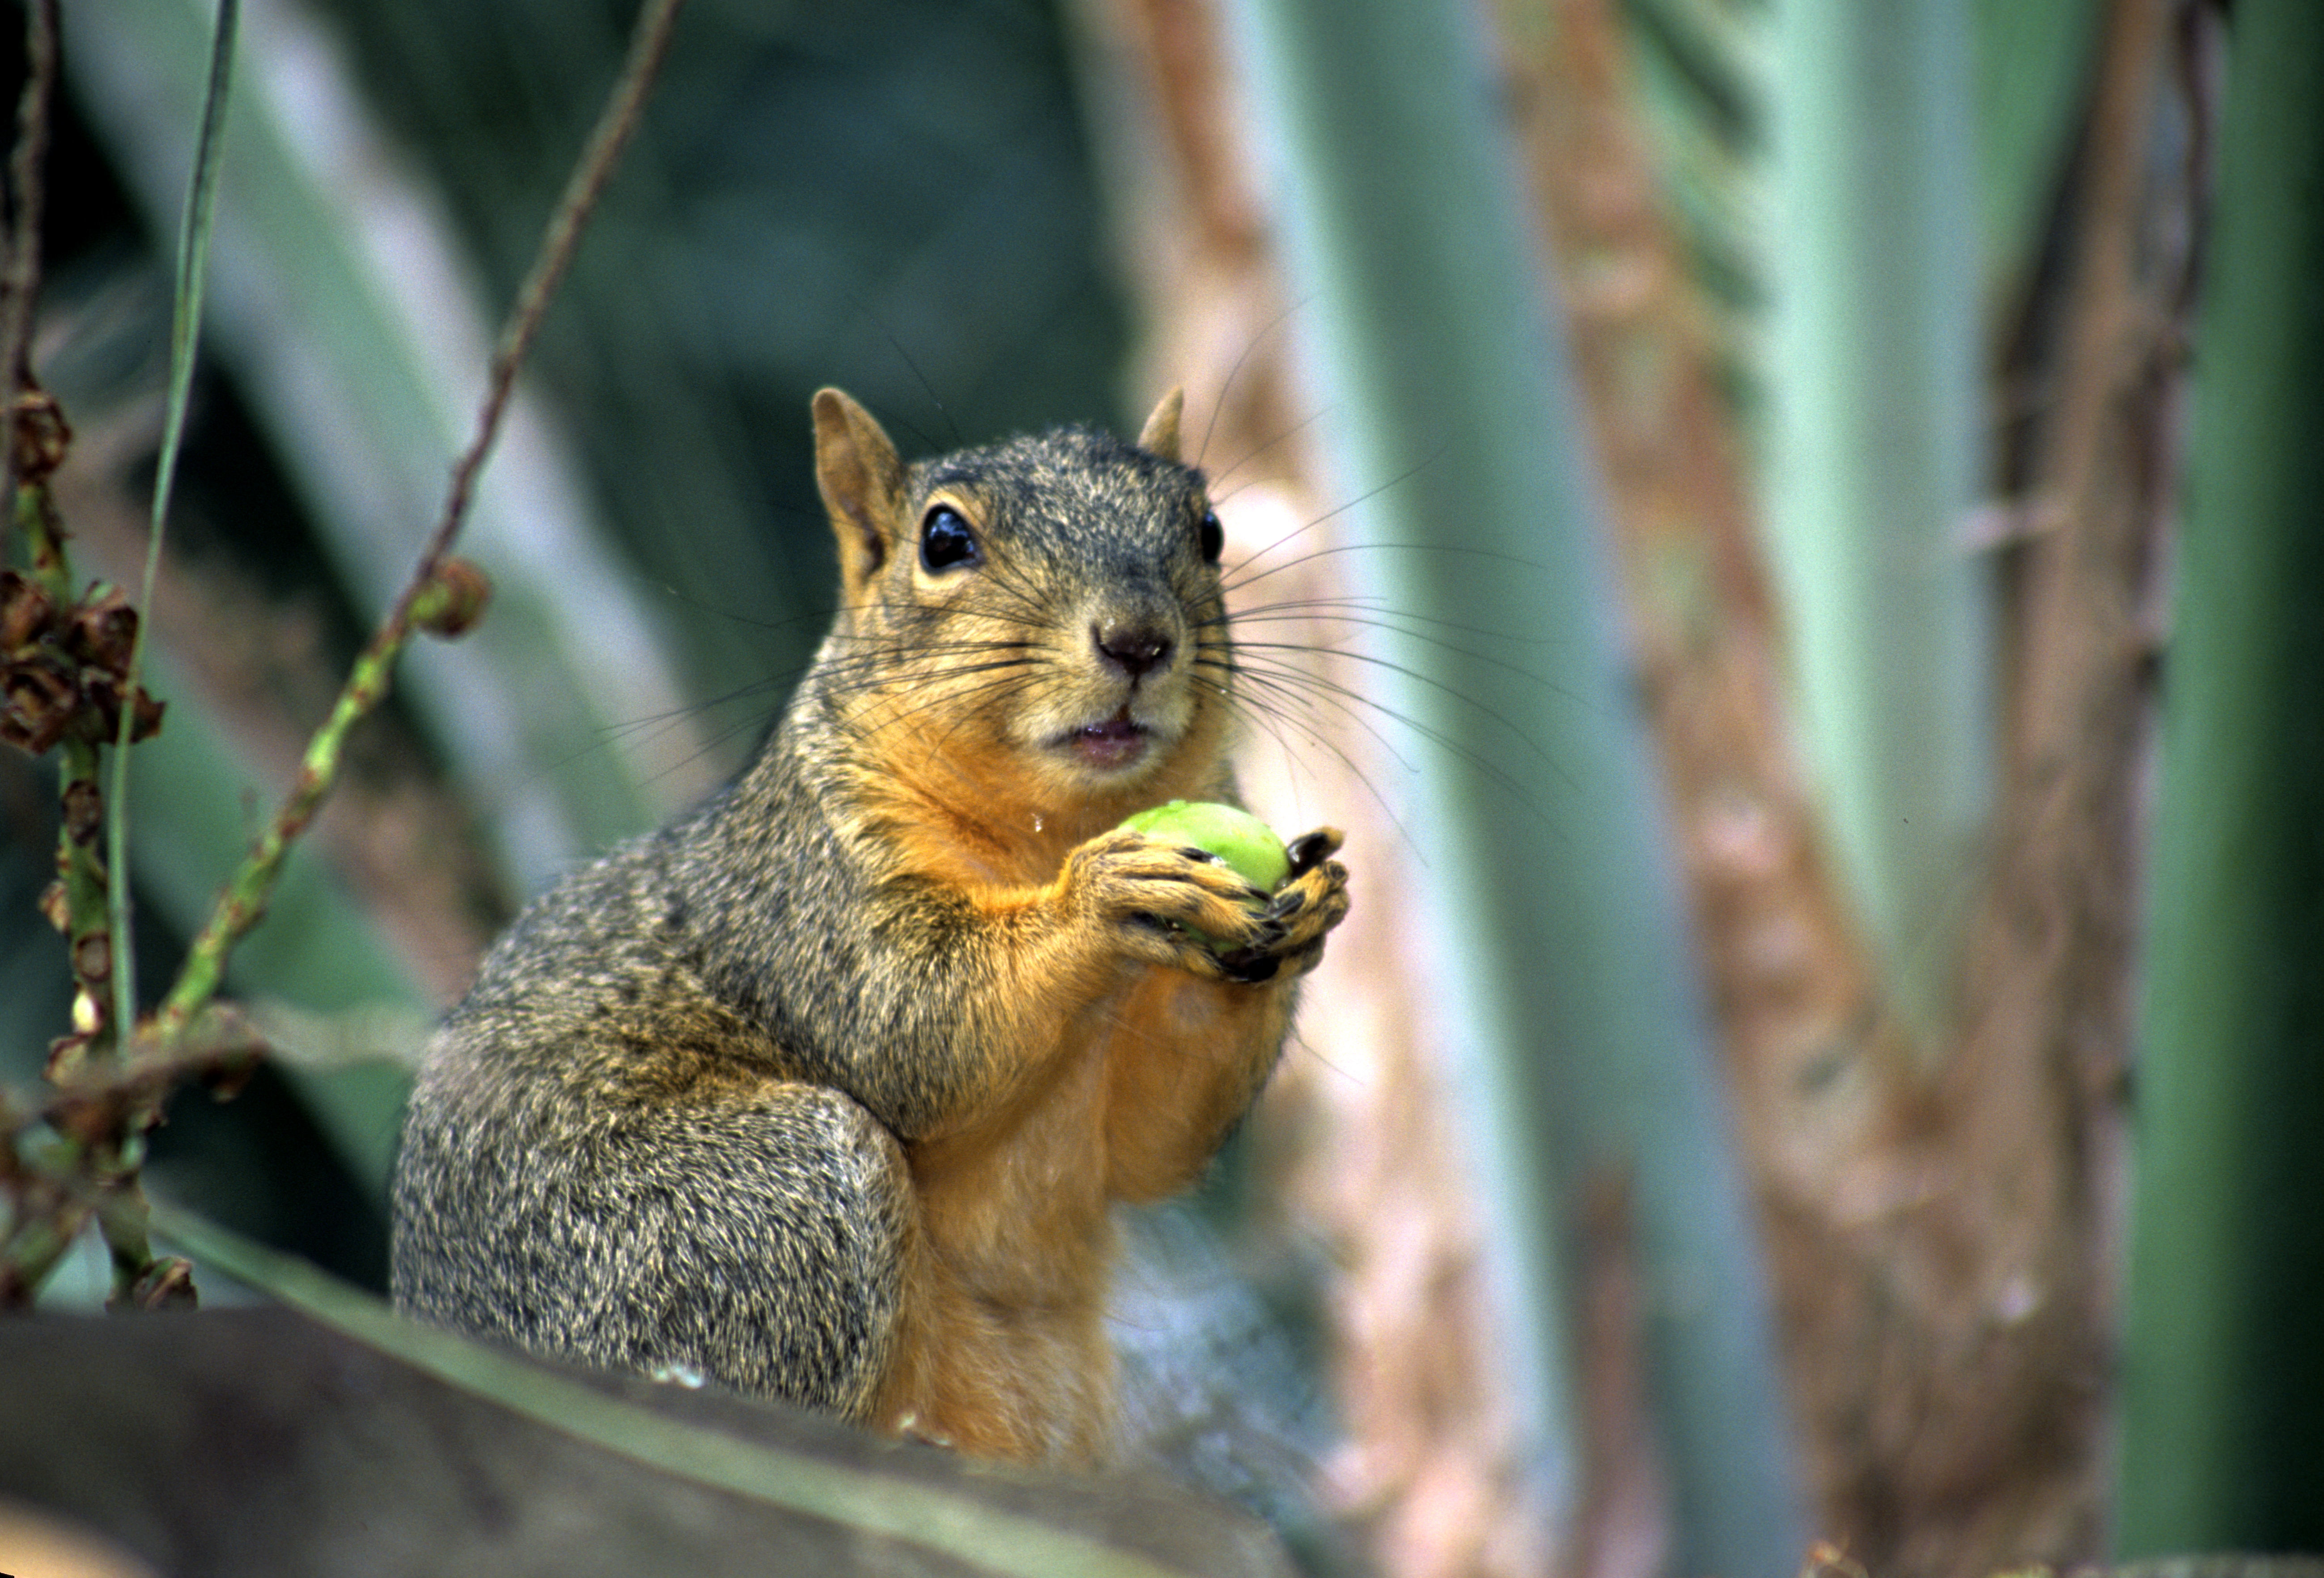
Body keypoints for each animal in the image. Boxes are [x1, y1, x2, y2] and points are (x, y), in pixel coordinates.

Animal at [390, 386, 1357, 1468]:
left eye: (1209, 529)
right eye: (943, 539)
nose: (1139, 640)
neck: (1045, 832)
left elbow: (1156, 1138)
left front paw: (1309, 908)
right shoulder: (804, 891)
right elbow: (908, 1022)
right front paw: (1106, 893)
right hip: (751, 1212)